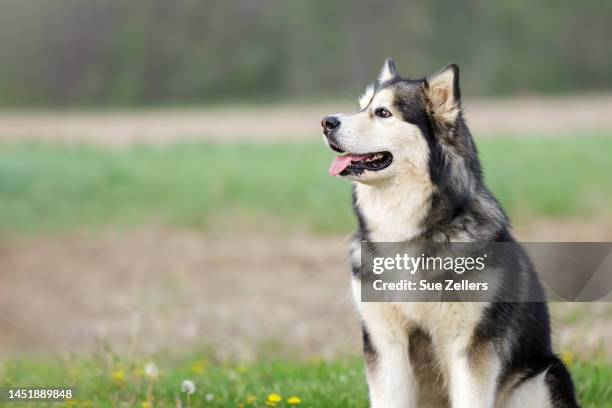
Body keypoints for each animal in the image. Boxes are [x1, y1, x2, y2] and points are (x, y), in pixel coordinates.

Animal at [320, 60, 580, 408]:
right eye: (361, 106)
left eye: (383, 112)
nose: (326, 122)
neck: (405, 232)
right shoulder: (385, 342)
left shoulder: (469, 345)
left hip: (541, 377)